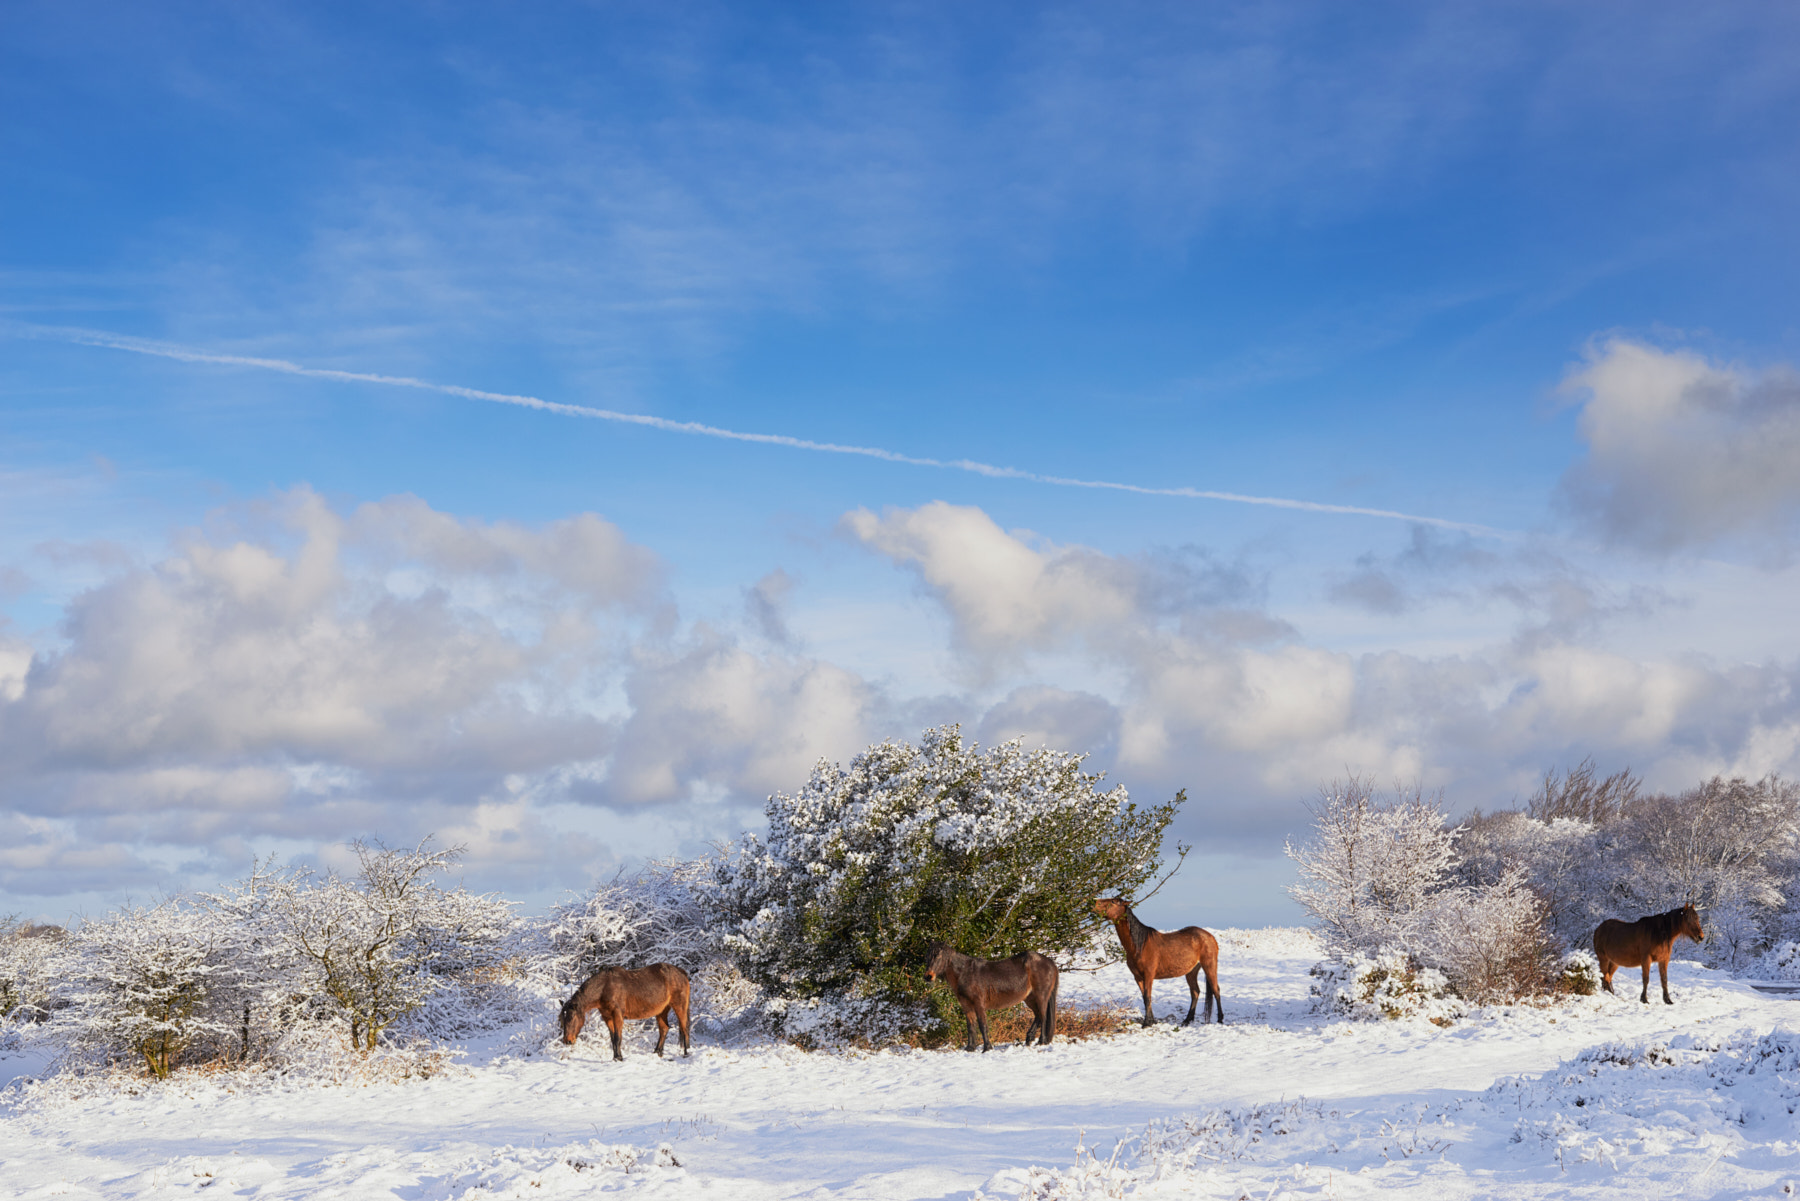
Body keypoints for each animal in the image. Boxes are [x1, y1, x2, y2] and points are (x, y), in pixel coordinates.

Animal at [558, 965, 691, 1058]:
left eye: (572, 1018)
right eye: (562, 1020)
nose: (567, 1041)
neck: (605, 987)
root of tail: (681, 972)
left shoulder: (617, 1015)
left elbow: (618, 1038)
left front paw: (619, 1058)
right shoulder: (607, 1017)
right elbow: (613, 1038)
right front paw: (616, 1057)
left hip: (680, 1007)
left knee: (684, 1028)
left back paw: (686, 1053)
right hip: (662, 1011)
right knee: (664, 1029)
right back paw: (657, 1052)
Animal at [1087, 896, 1231, 1029]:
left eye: (1113, 902)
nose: (1093, 902)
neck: (1139, 945)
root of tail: (1210, 937)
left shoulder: (1149, 975)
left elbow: (1147, 997)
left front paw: (1147, 1023)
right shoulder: (1138, 977)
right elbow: (1145, 998)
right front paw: (1152, 1021)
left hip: (1209, 965)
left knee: (1216, 990)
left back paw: (1220, 1019)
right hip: (1191, 971)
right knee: (1195, 992)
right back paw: (1187, 1020)